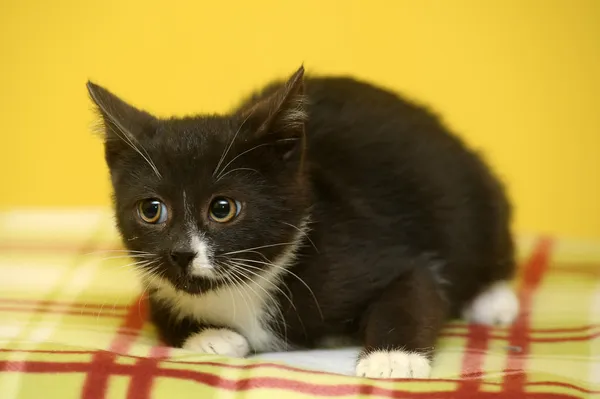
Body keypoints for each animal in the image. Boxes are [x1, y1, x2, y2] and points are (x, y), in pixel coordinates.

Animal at [86, 67, 516, 380]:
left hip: (475, 192)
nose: (180, 253)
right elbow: (160, 306)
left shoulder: (377, 248)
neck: (245, 289)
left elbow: (415, 287)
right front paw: (211, 337)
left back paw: (493, 300)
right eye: (151, 210)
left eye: (223, 208)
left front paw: (392, 359)